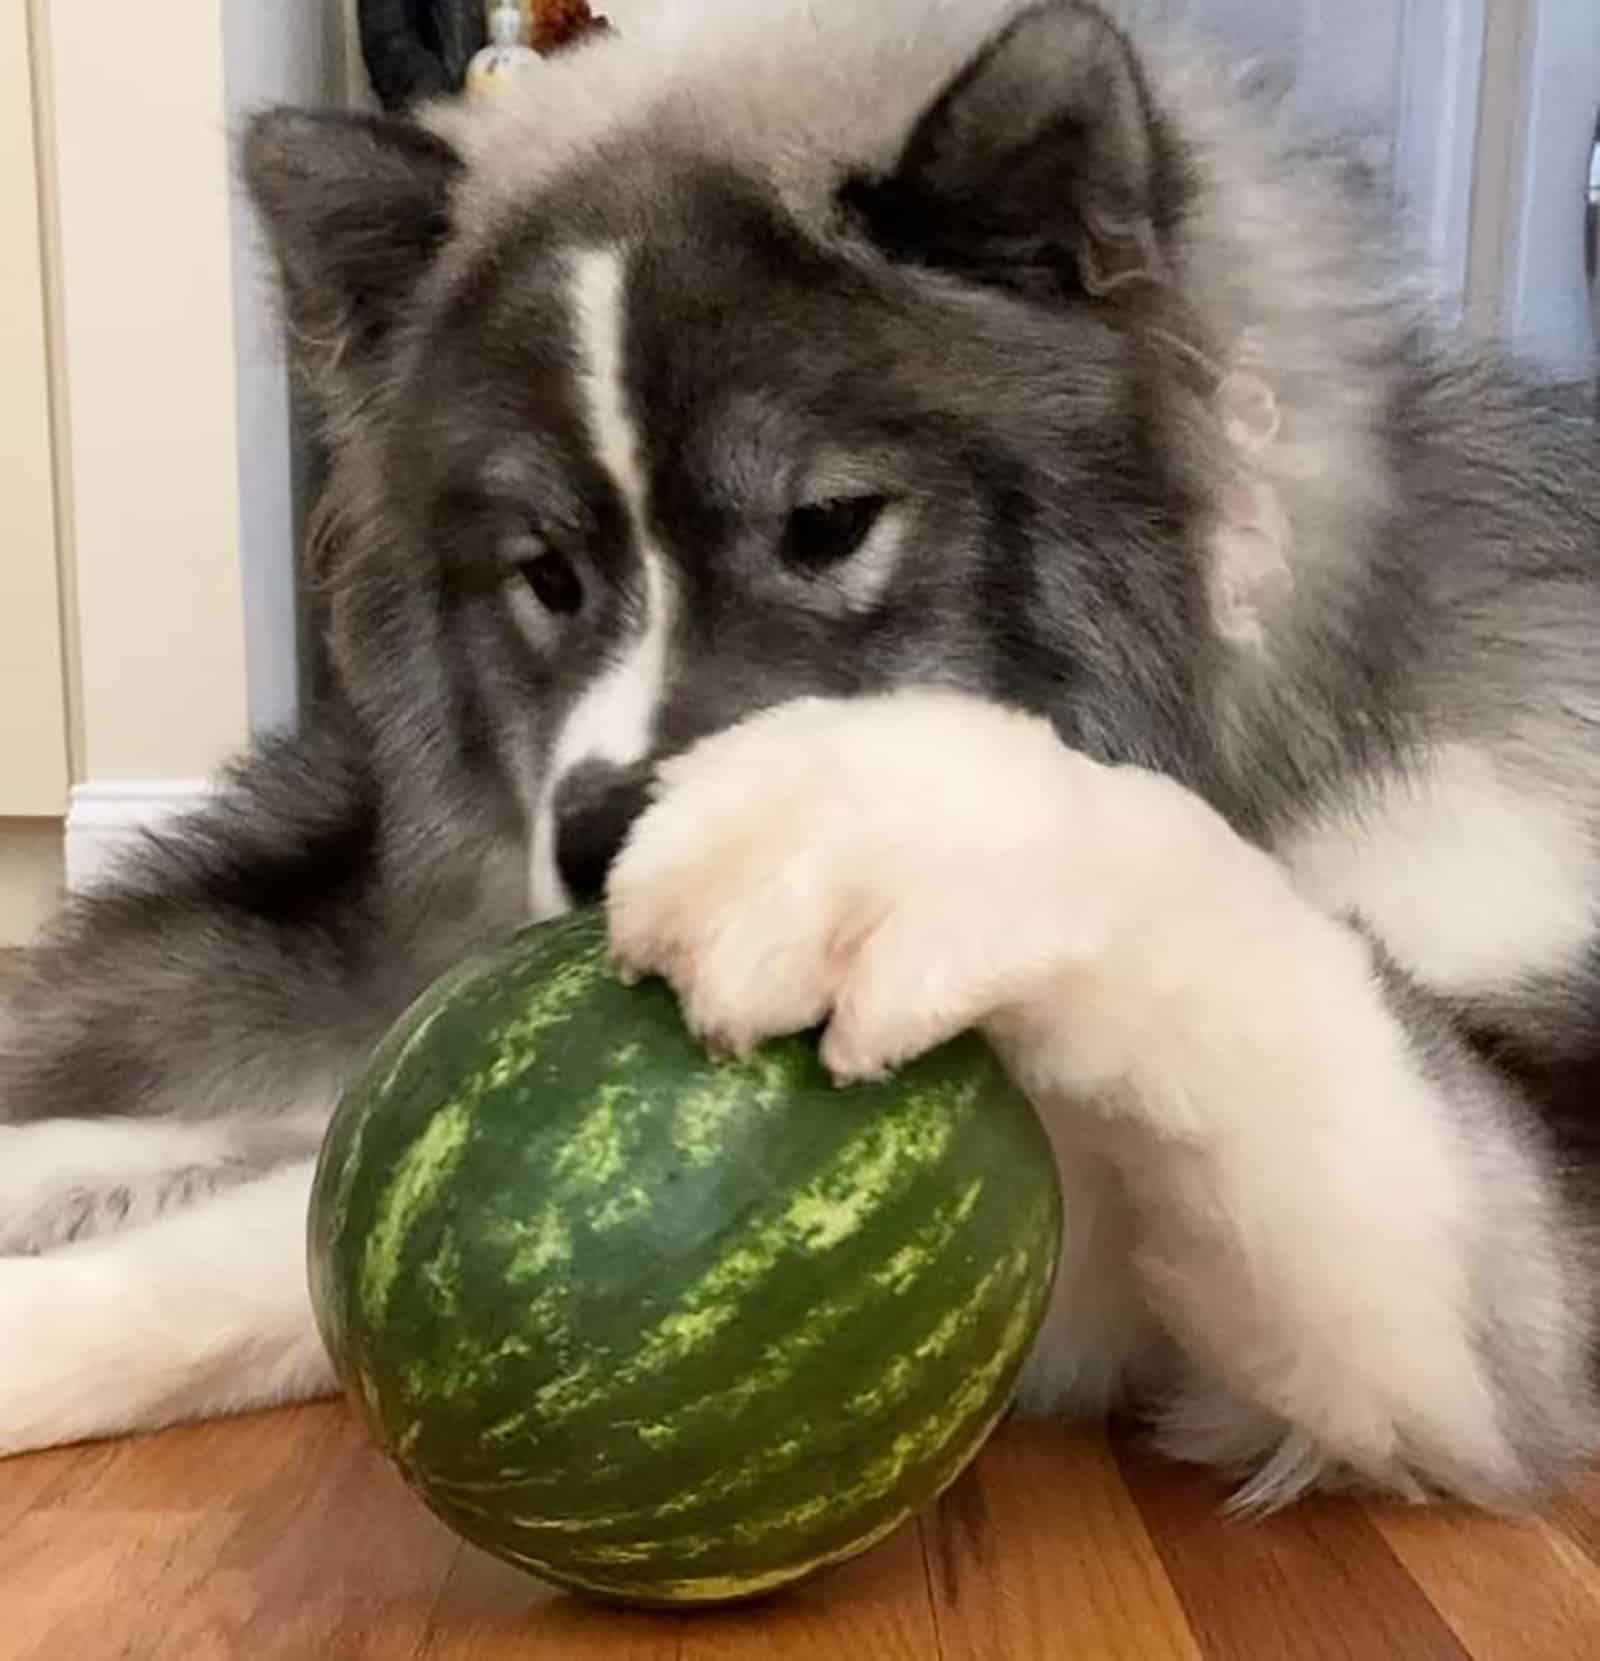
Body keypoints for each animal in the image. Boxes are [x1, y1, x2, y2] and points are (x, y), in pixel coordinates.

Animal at [3, 0, 1600, 1508]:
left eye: (827, 523)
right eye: (546, 573)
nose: (600, 844)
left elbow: (1266, 955)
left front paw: (852, 828)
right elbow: (254, 1250)